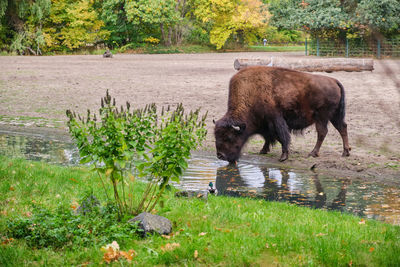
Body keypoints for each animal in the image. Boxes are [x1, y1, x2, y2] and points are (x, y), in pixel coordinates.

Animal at [214, 67, 348, 163]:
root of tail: (334, 81)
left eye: (229, 137)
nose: (220, 156)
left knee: (322, 132)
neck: (251, 93)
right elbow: (268, 137)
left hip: (322, 117)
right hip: (334, 116)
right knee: (342, 128)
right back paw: (345, 152)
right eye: (216, 136)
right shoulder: (265, 123)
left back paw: (313, 153)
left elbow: (281, 136)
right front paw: (263, 150)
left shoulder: (275, 120)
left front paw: (283, 157)